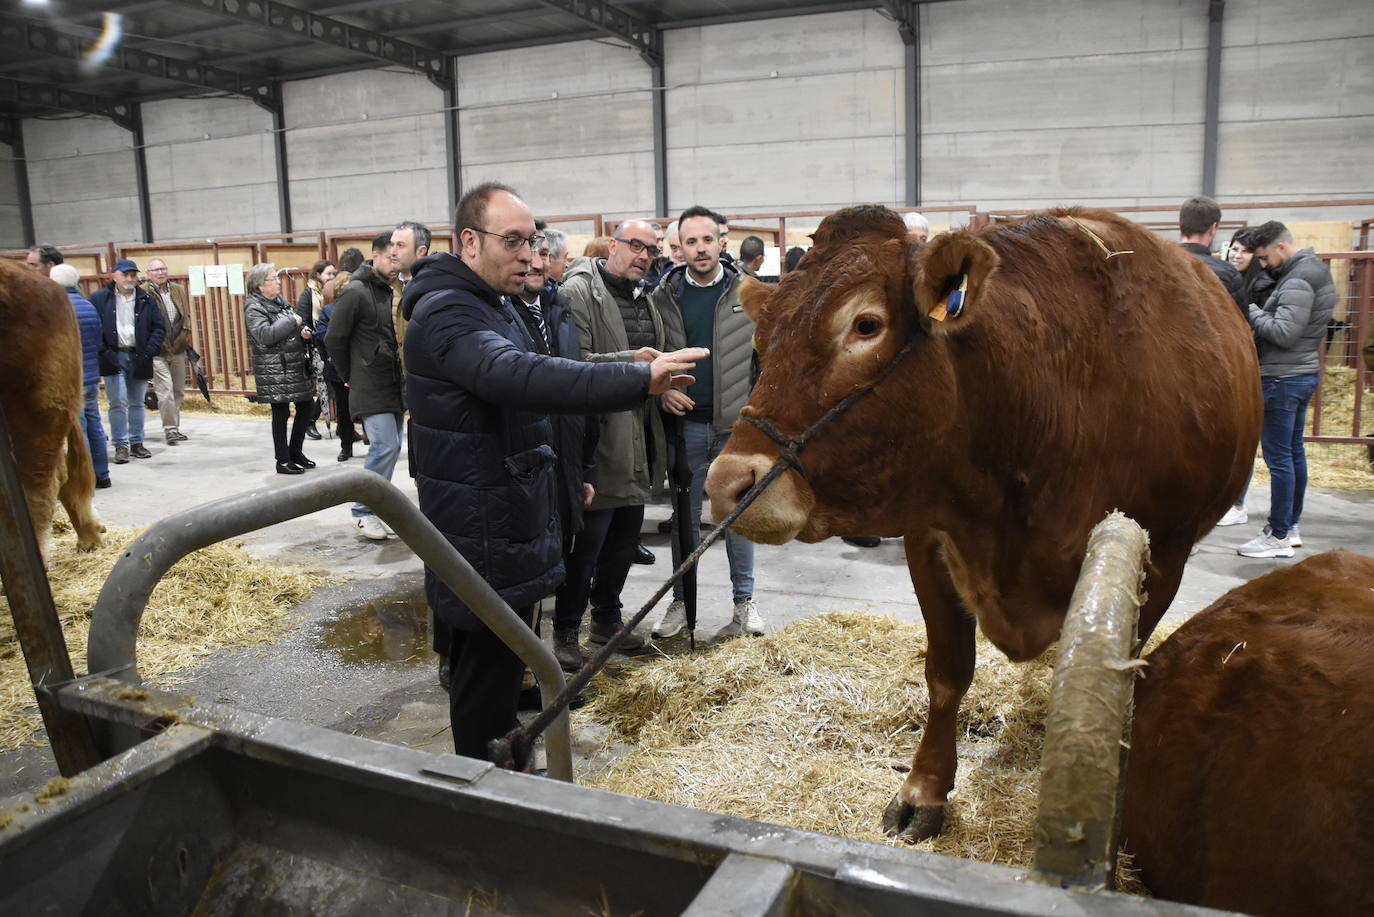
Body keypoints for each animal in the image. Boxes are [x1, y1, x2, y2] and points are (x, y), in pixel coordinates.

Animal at [703, 206, 1258, 841]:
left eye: (866, 325)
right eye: (762, 339)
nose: (727, 484)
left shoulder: (1163, 553)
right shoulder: (928, 537)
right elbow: (947, 674)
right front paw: (923, 790)